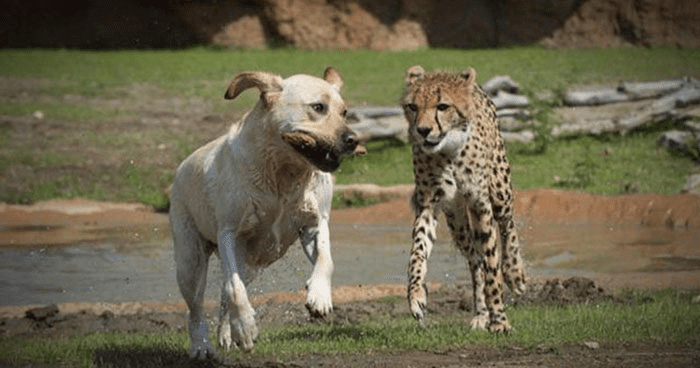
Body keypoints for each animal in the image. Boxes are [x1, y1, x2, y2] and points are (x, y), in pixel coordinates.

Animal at [171, 67, 360, 358]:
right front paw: (246, 329)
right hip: (190, 258)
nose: (353, 140)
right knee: (197, 306)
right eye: (318, 107)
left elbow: (326, 260)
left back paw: (227, 335)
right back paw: (202, 346)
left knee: (225, 294)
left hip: (250, 264)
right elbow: (234, 289)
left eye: (344, 111)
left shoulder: (315, 223)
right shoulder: (230, 233)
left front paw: (319, 296)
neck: (282, 174)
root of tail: (181, 167)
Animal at [400, 66, 524, 334]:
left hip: (499, 190)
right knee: (475, 260)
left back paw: (515, 274)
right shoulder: (429, 204)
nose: (422, 130)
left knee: (507, 226)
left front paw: (500, 320)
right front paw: (416, 296)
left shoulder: (480, 205)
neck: (448, 150)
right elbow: (417, 252)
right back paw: (480, 314)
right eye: (413, 106)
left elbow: (493, 266)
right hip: (457, 222)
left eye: (442, 106)